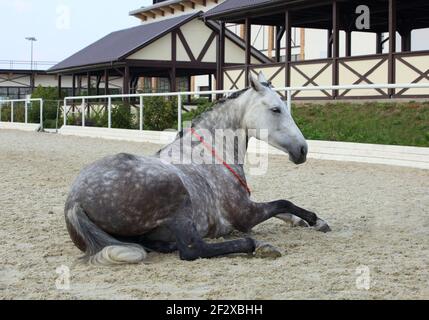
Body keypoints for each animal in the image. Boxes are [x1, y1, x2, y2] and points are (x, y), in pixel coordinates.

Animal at [65, 74, 330, 266]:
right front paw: (313, 219)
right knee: (192, 250)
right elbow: (283, 203)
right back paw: (258, 246)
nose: (303, 149)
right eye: (276, 109)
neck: (211, 151)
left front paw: (309, 221)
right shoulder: (245, 214)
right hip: (176, 198)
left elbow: (283, 210)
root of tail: (75, 202)